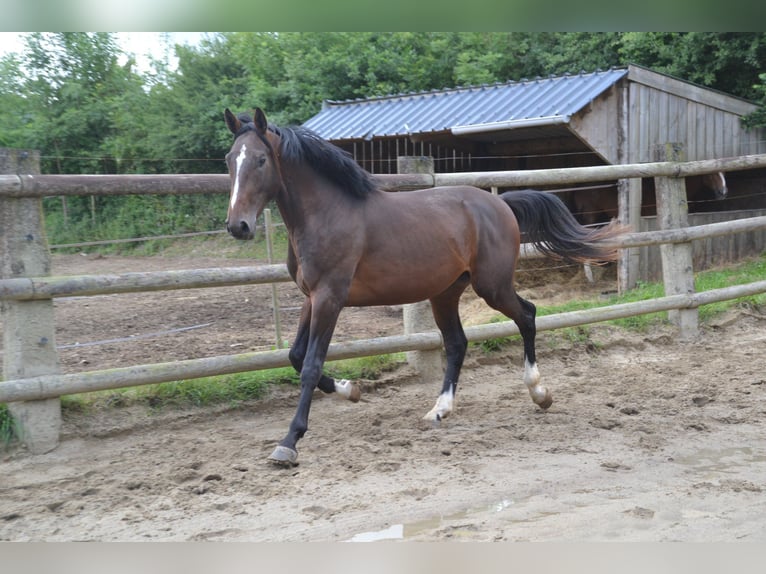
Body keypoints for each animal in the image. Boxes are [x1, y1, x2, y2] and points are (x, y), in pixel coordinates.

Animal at [225, 108, 628, 468]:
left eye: (261, 160)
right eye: (230, 159)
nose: (238, 226)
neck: (329, 214)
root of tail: (500, 202)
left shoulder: (330, 297)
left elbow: (309, 365)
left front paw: (288, 443)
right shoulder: (311, 297)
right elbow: (294, 356)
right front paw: (351, 389)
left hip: (492, 286)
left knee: (527, 315)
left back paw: (539, 393)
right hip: (445, 292)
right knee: (458, 343)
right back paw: (440, 409)